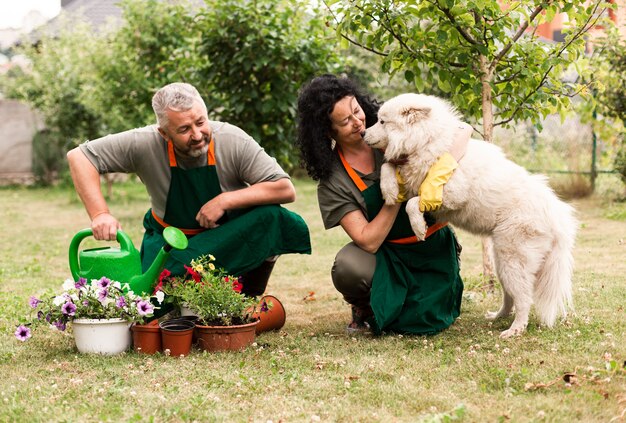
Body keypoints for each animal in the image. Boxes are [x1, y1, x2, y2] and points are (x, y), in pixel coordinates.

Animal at [360, 93, 576, 338]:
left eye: (382, 122)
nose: (362, 133)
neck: (428, 142)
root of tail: (557, 215)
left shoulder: (450, 194)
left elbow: (414, 203)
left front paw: (418, 228)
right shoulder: (411, 175)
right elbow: (388, 167)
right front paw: (389, 191)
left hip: (513, 260)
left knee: (524, 299)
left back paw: (515, 329)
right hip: (502, 262)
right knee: (510, 297)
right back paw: (498, 317)